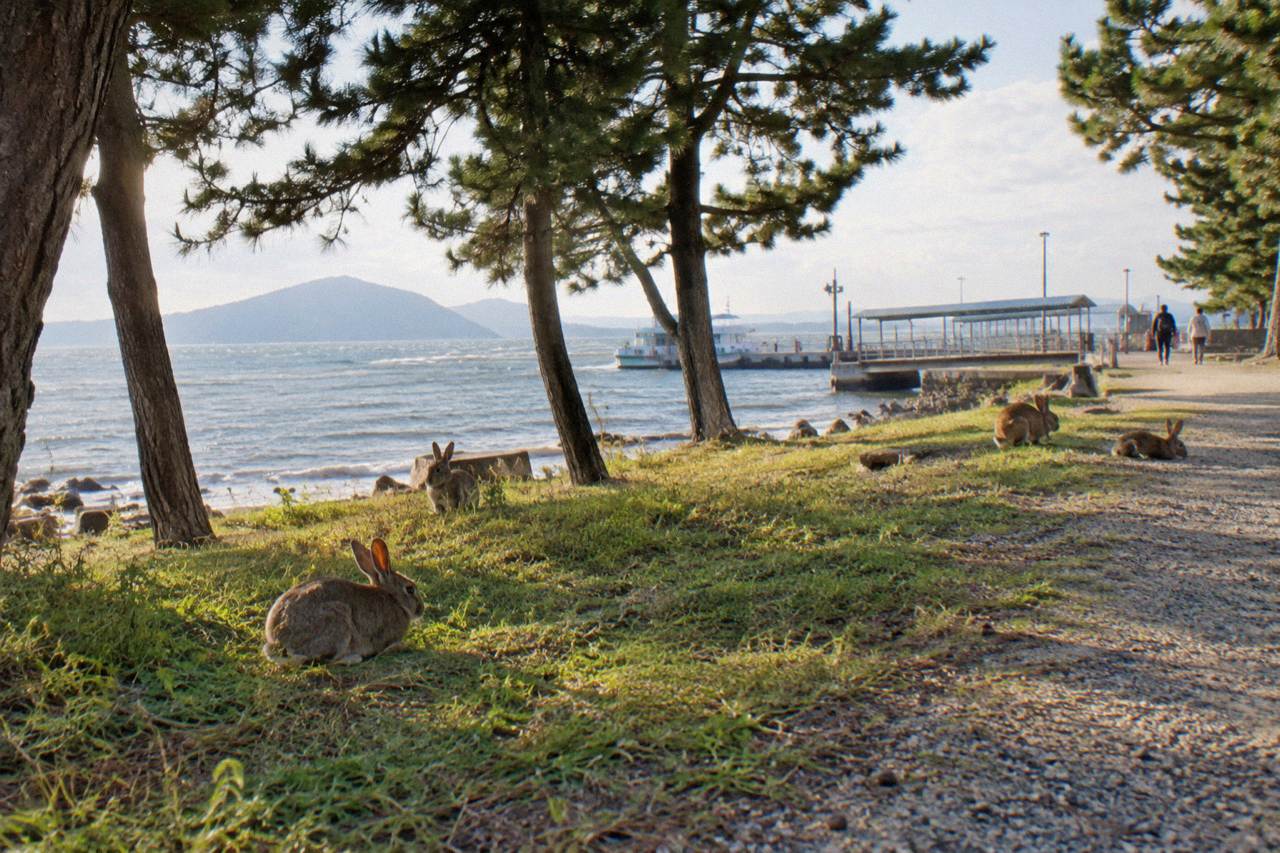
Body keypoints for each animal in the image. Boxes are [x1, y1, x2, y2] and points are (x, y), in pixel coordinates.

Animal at [262, 538, 423, 665]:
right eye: (410, 589)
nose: (421, 609)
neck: (393, 598)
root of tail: (276, 640)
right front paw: (399, 646)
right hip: (338, 621)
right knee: (325, 660)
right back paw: (354, 658)